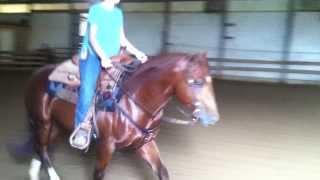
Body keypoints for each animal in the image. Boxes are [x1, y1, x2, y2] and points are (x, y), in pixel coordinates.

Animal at [21, 52, 219, 180]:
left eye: (210, 81)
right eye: (195, 81)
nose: (214, 118)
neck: (134, 99)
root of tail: (36, 74)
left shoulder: (145, 143)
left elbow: (162, 171)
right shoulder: (106, 145)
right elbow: (98, 175)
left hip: (56, 126)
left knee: (41, 148)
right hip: (43, 122)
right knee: (42, 149)